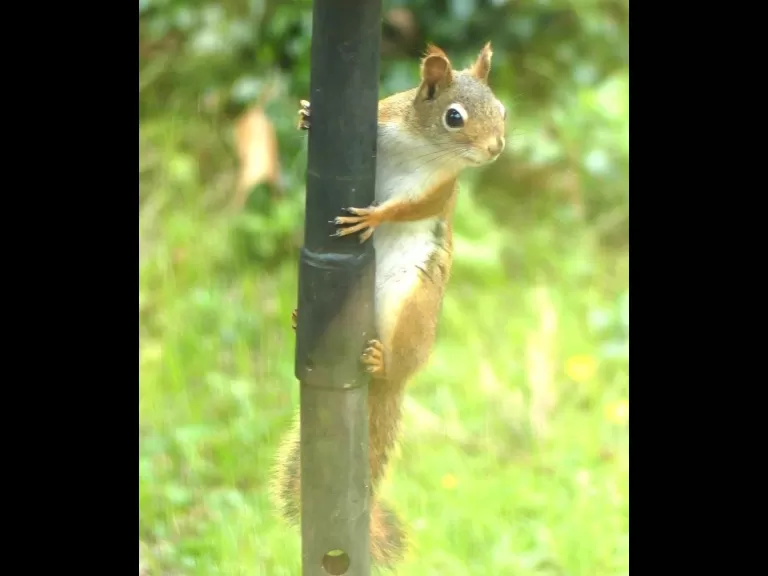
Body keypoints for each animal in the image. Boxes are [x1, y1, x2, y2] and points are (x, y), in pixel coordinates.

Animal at [271, 42, 506, 569]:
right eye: (454, 117)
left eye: (501, 109)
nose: (496, 148)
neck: (421, 144)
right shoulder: (383, 118)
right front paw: (306, 114)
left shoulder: (439, 188)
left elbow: (411, 208)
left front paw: (374, 217)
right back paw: (298, 318)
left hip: (411, 306)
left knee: (395, 360)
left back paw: (382, 362)